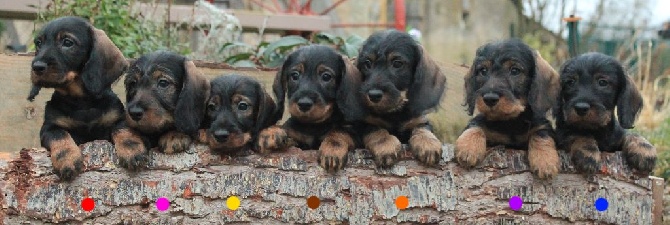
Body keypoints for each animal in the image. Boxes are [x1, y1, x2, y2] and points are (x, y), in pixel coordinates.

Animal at [29, 16, 141, 181]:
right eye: (38, 43)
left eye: (67, 42)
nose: (36, 66)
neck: (81, 102)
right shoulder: (49, 127)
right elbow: (60, 135)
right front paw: (67, 159)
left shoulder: (117, 118)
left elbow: (123, 130)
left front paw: (132, 148)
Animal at [258, 44, 362, 173]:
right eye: (295, 75)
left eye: (326, 76)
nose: (304, 104)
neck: (313, 126)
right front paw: (271, 131)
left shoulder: (354, 134)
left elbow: (339, 131)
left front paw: (332, 148)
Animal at [338, 29, 448, 168]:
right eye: (367, 63)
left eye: (397, 63)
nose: (373, 95)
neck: (394, 112)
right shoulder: (363, 123)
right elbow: (376, 129)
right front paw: (386, 144)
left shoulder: (419, 120)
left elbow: (422, 128)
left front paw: (428, 143)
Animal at [454, 39, 564, 179]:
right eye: (483, 70)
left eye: (515, 70)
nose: (490, 99)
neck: (511, 123)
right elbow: (475, 125)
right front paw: (468, 147)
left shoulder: (543, 126)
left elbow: (541, 134)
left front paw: (545, 160)